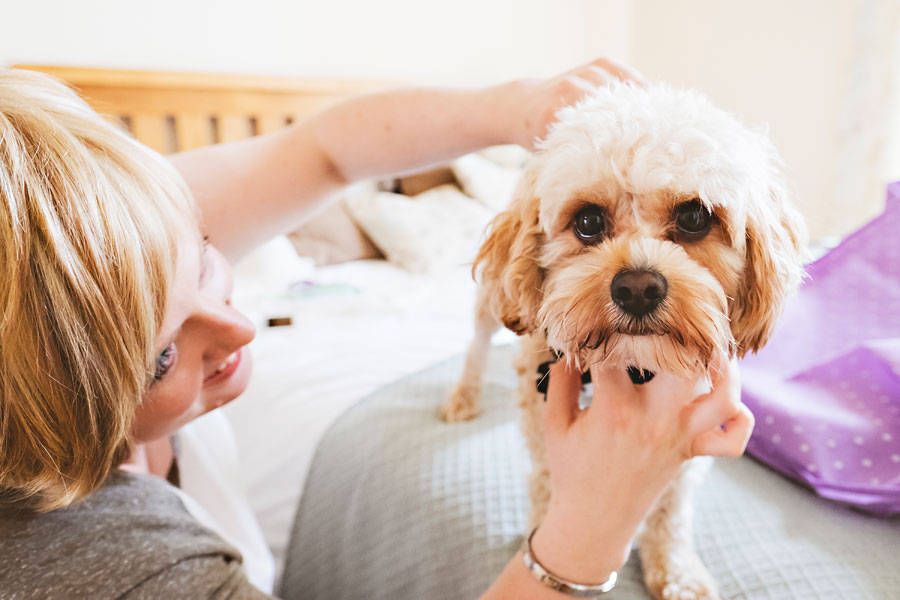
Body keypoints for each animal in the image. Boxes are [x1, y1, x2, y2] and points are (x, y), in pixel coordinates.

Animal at [442, 83, 808, 600]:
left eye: (694, 216)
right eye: (588, 221)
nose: (637, 287)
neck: (636, 369)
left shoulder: (693, 443)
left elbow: (671, 513)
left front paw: (676, 570)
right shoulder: (547, 436)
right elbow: (552, 493)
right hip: (491, 302)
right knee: (476, 342)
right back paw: (464, 395)